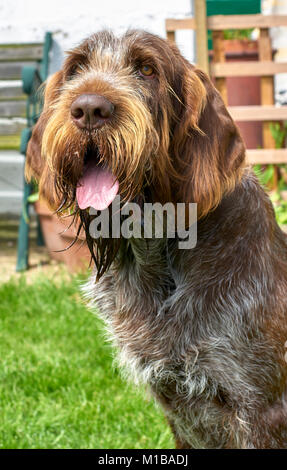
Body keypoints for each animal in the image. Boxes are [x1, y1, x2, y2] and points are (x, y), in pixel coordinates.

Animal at [25, 29, 287, 448]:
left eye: (147, 70)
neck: (154, 253)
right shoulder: (177, 408)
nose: (88, 109)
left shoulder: (263, 410)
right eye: (77, 68)